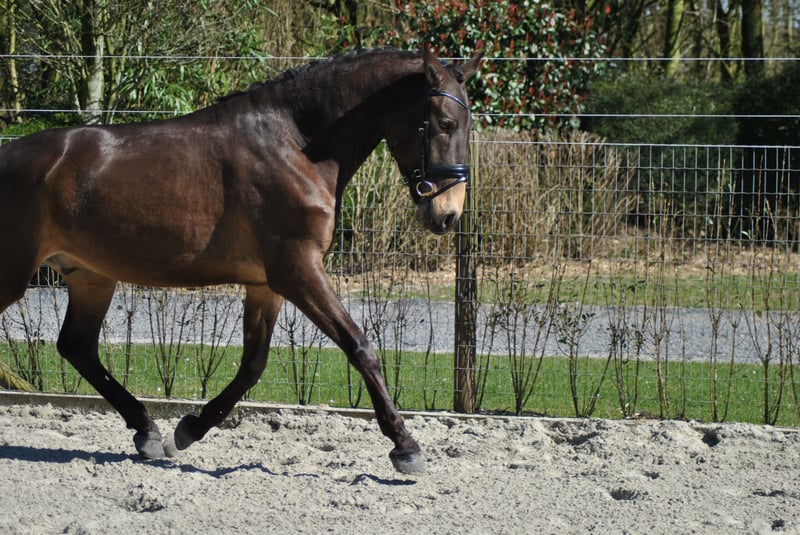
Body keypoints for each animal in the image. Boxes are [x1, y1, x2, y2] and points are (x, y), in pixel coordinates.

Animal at [0, 47, 482, 474]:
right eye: (444, 123)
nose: (448, 214)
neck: (295, 145)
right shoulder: (298, 271)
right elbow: (360, 347)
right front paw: (405, 447)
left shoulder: (266, 285)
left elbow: (253, 365)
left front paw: (188, 430)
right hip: (17, 275)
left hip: (91, 277)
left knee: (77, 346)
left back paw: (147, 431)